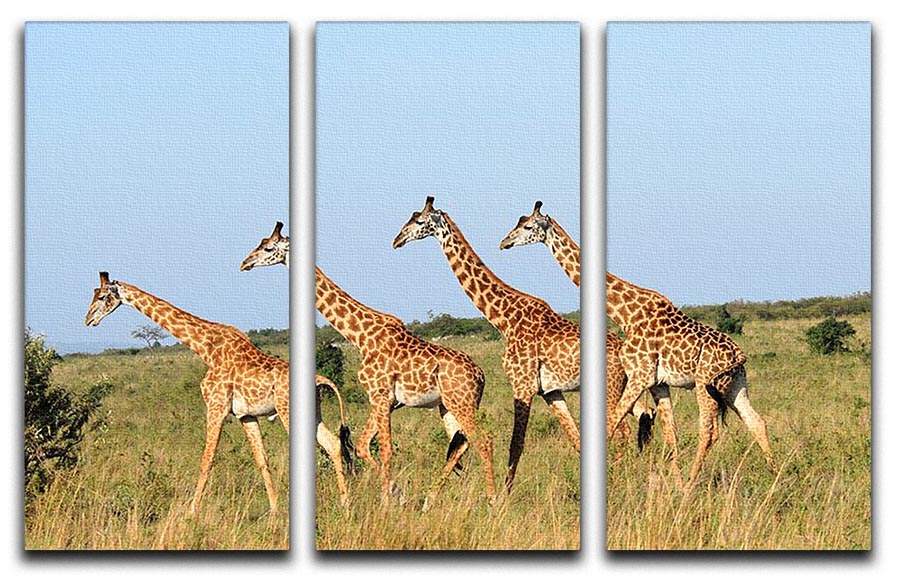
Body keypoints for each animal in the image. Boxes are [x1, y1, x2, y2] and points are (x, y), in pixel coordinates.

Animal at [84, 272, 293, 514]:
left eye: (101, 296)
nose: (87, 319)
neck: (205, 349)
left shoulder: (216, 406)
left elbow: (207, 459)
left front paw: (192, 511)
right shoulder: (245, 414)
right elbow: (262, 459)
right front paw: (275, 509)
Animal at [315, 266, 496, 505]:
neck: (360, 336)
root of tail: (481, 375)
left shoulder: (380, 395)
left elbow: (384, 450)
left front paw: (387, 502)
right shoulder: (386, 401)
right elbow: (364, 446)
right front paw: (396, 495)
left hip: (462, 404)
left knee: (483, 441)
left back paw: (494, 500)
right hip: (448, 406)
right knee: (461, 444)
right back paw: (429, 500)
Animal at [393, 196, 580, 491]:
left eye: (419, 221)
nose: (397, 239)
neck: (506, 319)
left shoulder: (522, 384)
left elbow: (516, 444)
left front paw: (502, 498)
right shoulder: (548, 390)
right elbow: (574, 438)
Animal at [606, 271, 773, 485]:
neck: (627, 315)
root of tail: (738, 353)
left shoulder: (639, 376)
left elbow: (612, 423)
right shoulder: (658, 384)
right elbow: (671, 433)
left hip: (704, 385)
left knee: (709, 432)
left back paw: (690, 484)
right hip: (736, 386)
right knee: (756, 422)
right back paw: (774, 476)